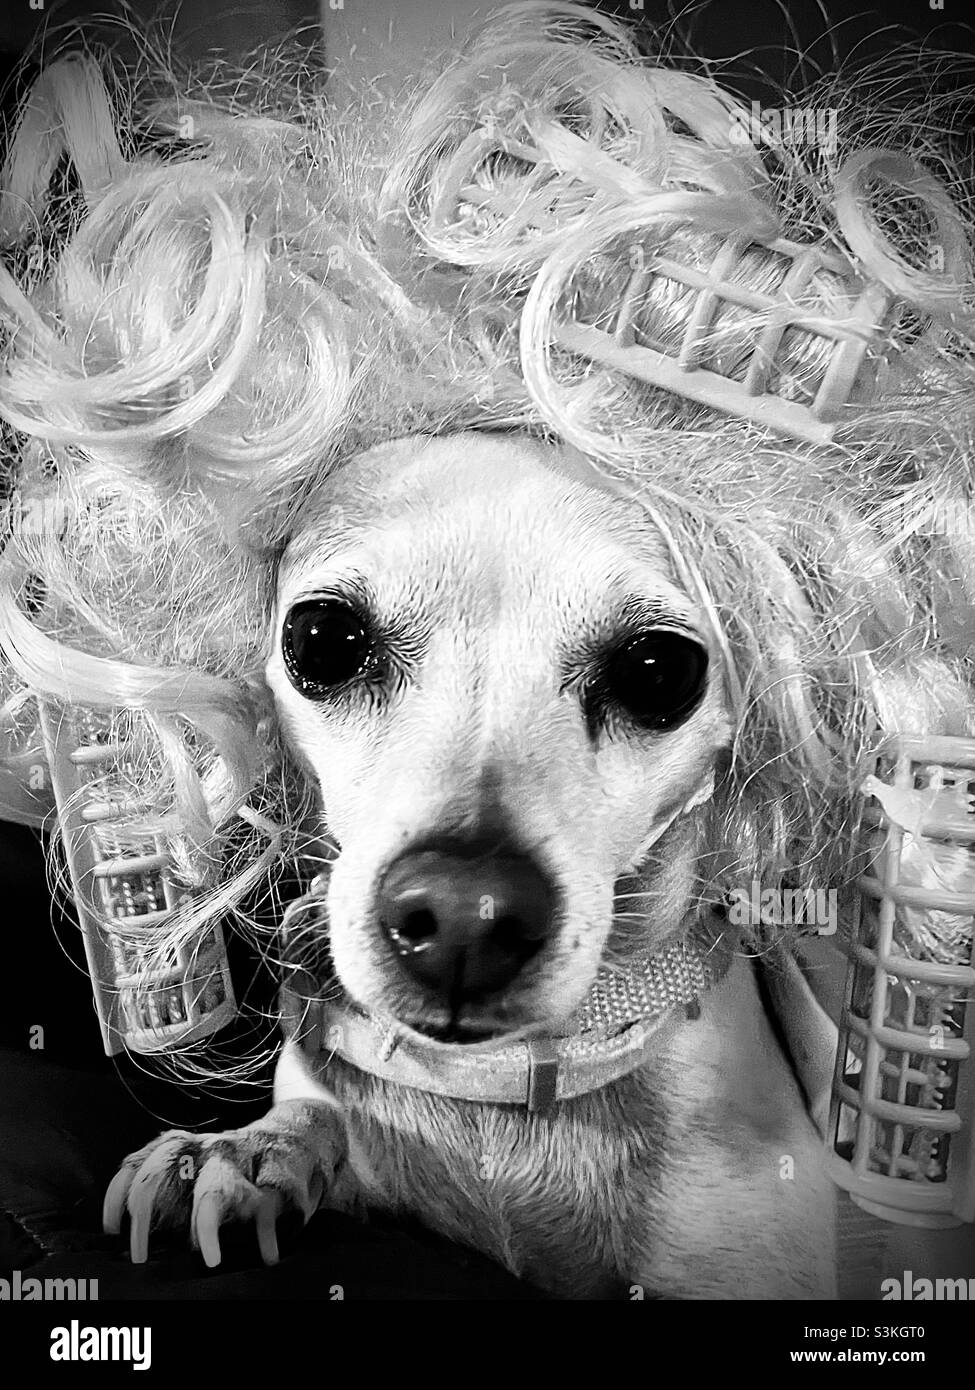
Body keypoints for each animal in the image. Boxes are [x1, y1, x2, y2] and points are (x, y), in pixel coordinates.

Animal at [104, 428, 834, 1295]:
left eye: (657, 671)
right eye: (322, 639)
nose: (464, 916)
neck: (502, 1081)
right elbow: (316, 1116)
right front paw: (242, 1152)